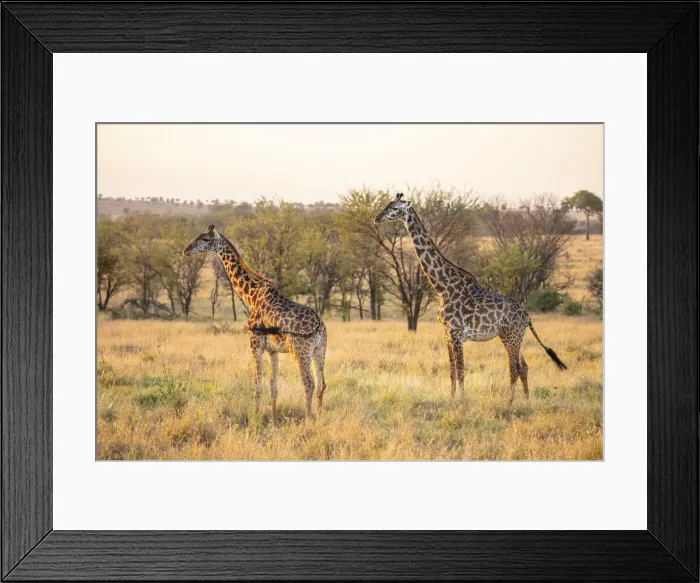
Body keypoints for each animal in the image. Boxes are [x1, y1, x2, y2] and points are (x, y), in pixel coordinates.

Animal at [183, 225, 327, 426]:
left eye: (205, 239)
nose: (186, 250)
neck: (251, 296)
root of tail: (319, 326)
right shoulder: (273, 350)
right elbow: (273, 387)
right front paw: (274, 423)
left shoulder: (254, 343)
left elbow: (257, 386)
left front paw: (254, 420)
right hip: (319, 351)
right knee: (321, 384)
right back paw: (319, 419)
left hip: (300, 351)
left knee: (309, 383)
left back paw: (308, 421)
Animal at [374, 194, 566, 405]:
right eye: (388, 204)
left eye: (395, 208)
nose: (376, 218)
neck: (443, 286)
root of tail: (527, 315)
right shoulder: (447, 334)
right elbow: (451, 371)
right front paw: (451, 399)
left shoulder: (457, 334)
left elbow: (461, 371)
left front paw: (462, 401)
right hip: (517, 337)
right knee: (523, 367)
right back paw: (526, 401)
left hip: (511, 336)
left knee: (514, 368)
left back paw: (508, 403)